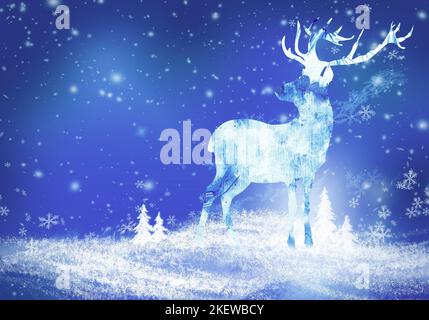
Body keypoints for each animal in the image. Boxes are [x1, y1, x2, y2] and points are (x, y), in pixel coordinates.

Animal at [197, 18, 412, 248]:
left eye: (305, 80)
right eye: (301, 72)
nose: (281, 87)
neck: (311, 141)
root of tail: (213, 136)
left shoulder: (310, 175)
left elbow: (307, 206)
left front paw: (309, 242)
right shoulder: (289, 173)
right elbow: (292, 206)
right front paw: (291, 242)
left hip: (243, 176)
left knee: (225, 196)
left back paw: (234, 237)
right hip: (226, 165)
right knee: (210, 191)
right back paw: (199, 236)